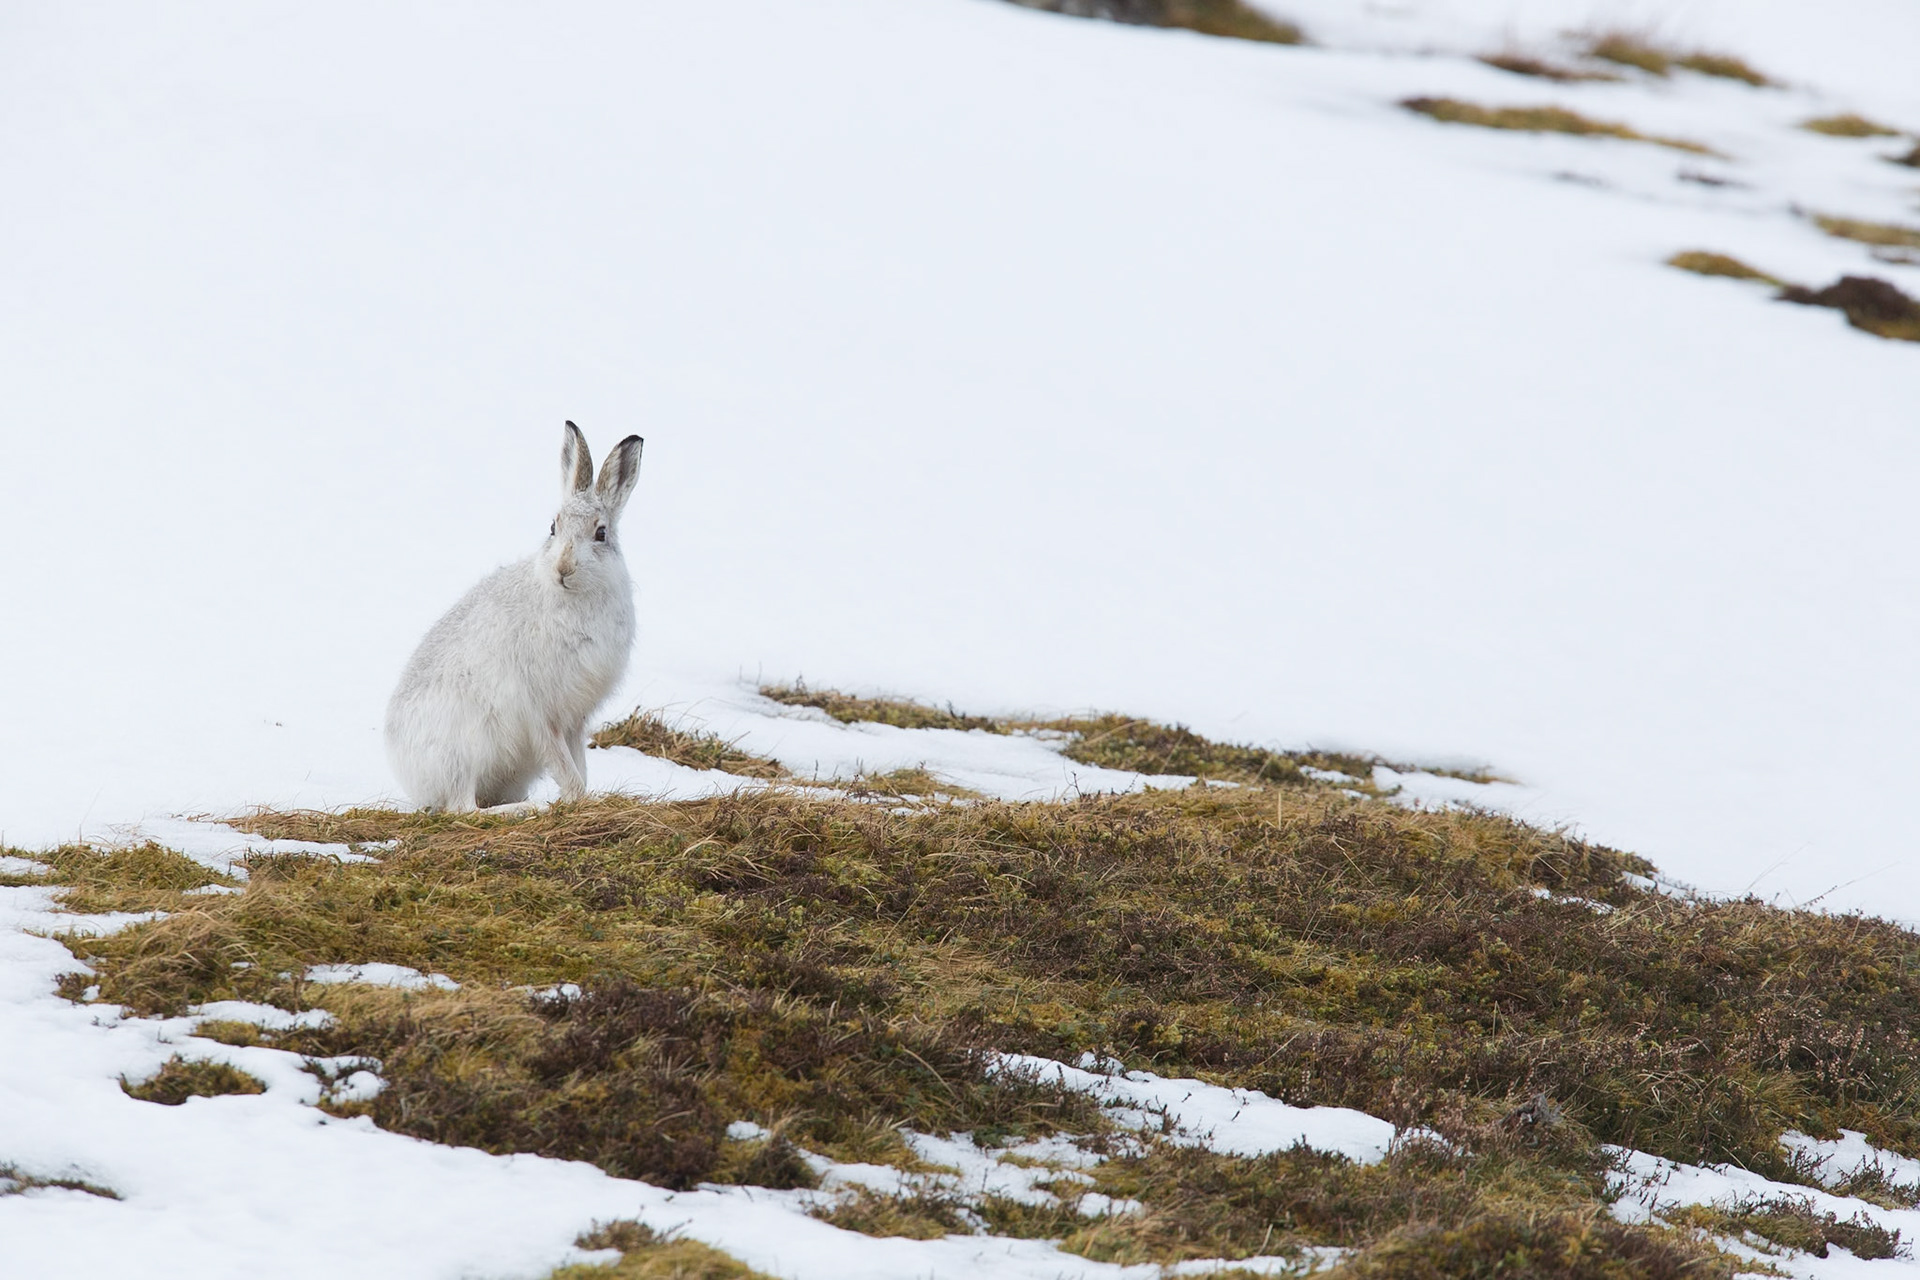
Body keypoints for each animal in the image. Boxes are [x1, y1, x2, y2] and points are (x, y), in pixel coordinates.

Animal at [385, 421, 644, 811]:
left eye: (601, 534)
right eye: (553, 527)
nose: (563, 568)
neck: (571, 597)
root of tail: (410, 774)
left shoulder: (575, 717)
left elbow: (577, 760)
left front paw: (584, 796)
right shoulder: (541, 712)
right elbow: (562, 762)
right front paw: (578, 799)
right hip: (464, 748)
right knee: (464, 807)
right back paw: (526, 809)